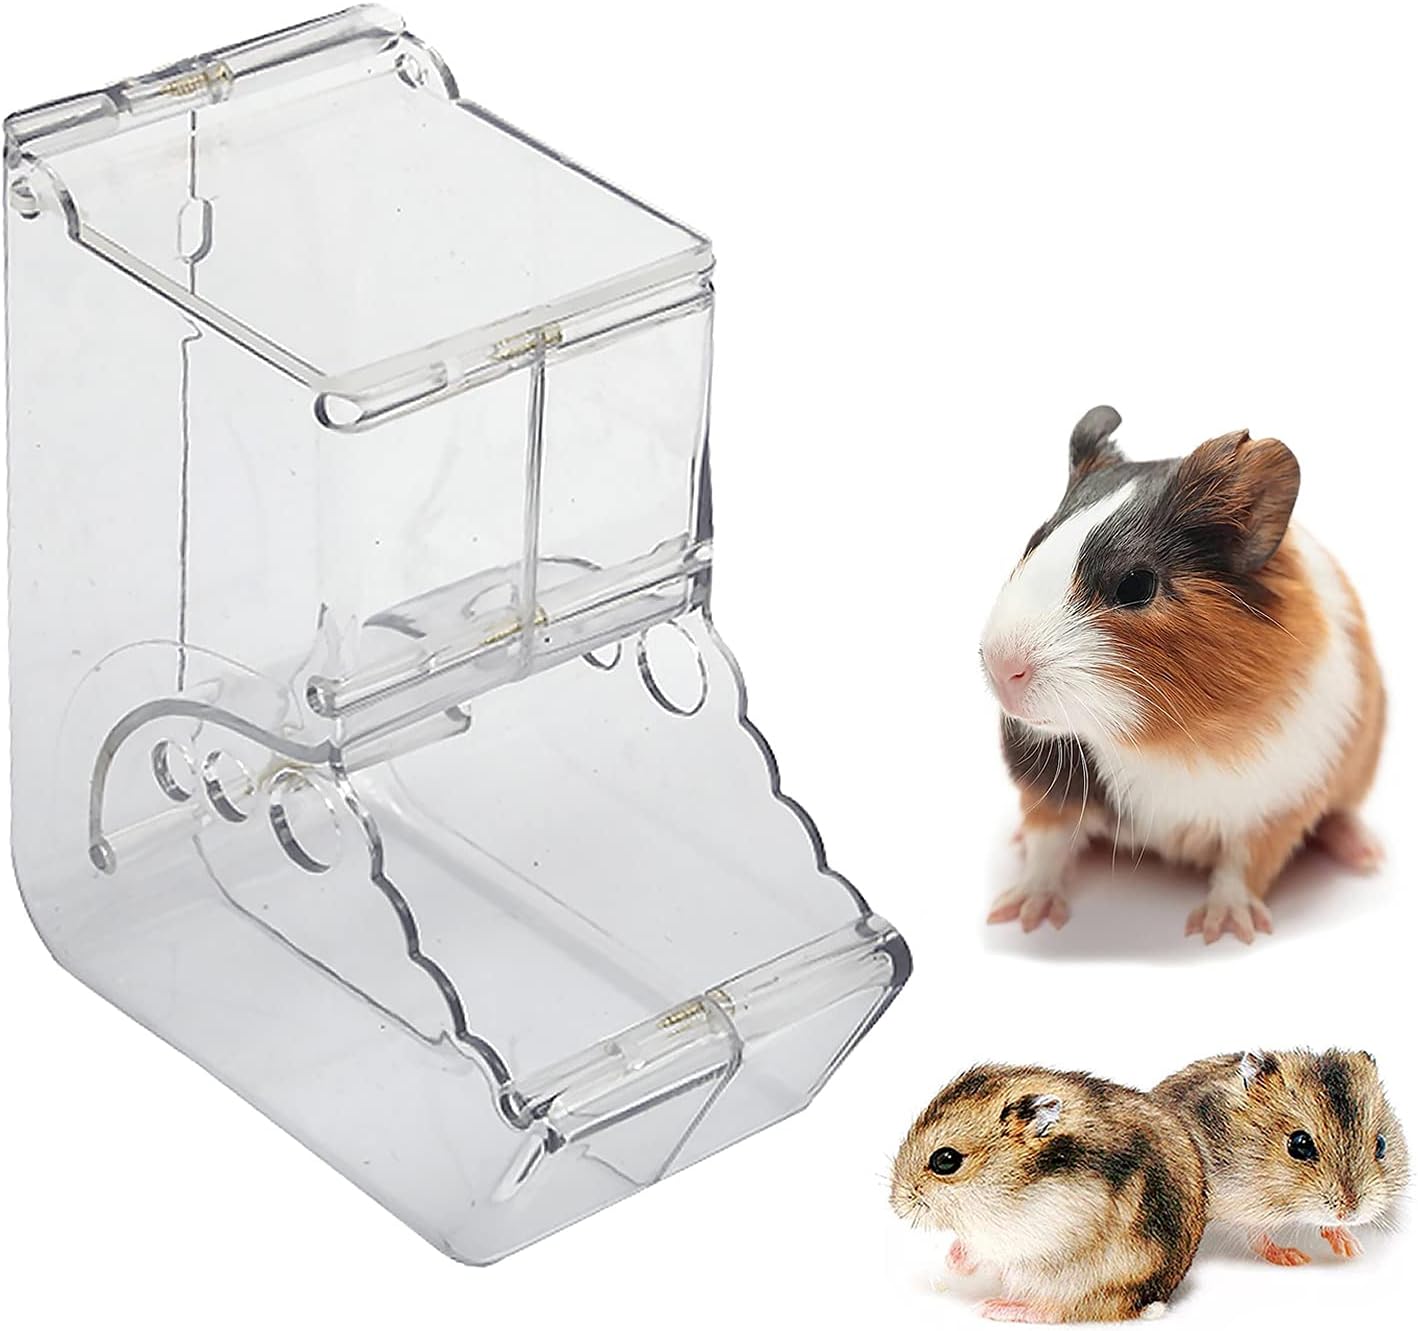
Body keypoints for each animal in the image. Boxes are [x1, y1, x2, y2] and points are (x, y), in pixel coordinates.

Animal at [890, 1064, 1207, 1322]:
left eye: (945, 1160)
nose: (896, 1206)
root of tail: (1146, 1302)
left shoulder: (1020, 1234)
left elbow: (982, 1248)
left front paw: (955, 1264)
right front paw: (951, 1259)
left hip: (1081, 1281)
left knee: (1056, 1310)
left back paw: (994, 1307)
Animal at [980, 406, 1386, 944]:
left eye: (1135, 585)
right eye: (1033, 541)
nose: (1001, 667)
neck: (1157, 742)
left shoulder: (1277, 804)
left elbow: (1243, 866)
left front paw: (1221, 930)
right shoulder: (1048, 787)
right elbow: (1048, 847)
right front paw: (1022, 915)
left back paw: (1368, 856)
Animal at [1155, 1048, 1407, 1265]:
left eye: (1381, 1144)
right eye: (1300, 1144)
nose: (1349, 1213)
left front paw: (1351, 1248)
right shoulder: (1244, 1203)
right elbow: (1257, 1236)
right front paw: (1295, 1258)